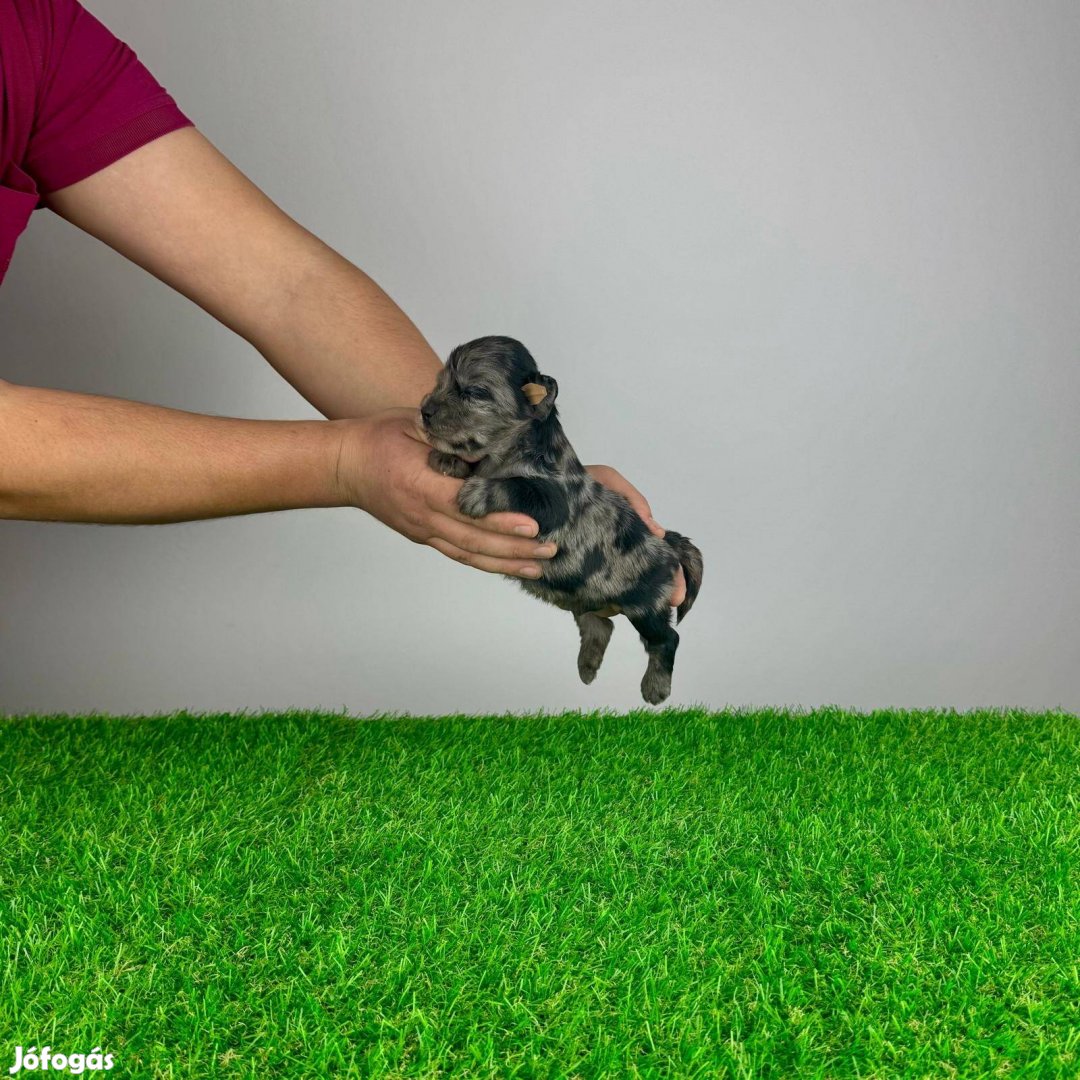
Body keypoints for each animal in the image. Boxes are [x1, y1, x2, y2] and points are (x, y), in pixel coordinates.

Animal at [416, 336, 704, 708]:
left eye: (473, 392)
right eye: (441, 382)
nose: (424, 411)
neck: (509, 452)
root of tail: (666, 542)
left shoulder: (554, 500)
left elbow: (516, 487)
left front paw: (477, 492)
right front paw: (449, 461)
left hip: (645, 604)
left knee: (667, 638)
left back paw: (655, 687)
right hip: (586, 596)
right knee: (600, 625)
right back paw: (588, 664)